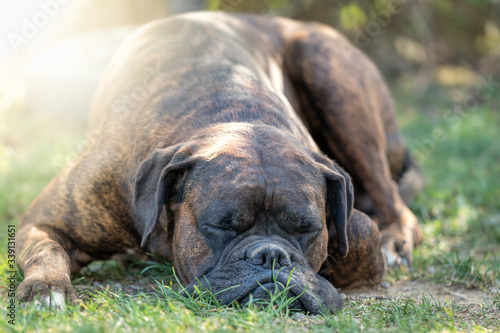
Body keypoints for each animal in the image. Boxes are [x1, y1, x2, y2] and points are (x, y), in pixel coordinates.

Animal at [16, 12, 422, 314]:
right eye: (221, 225)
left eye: (307, 229)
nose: (271, 255)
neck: (233, 110)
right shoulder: (45, 219)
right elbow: (46, 249)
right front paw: (47, 288)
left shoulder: (349, 218)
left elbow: (363, 239)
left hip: (327, 71)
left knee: (394, 202)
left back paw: (396, 239)